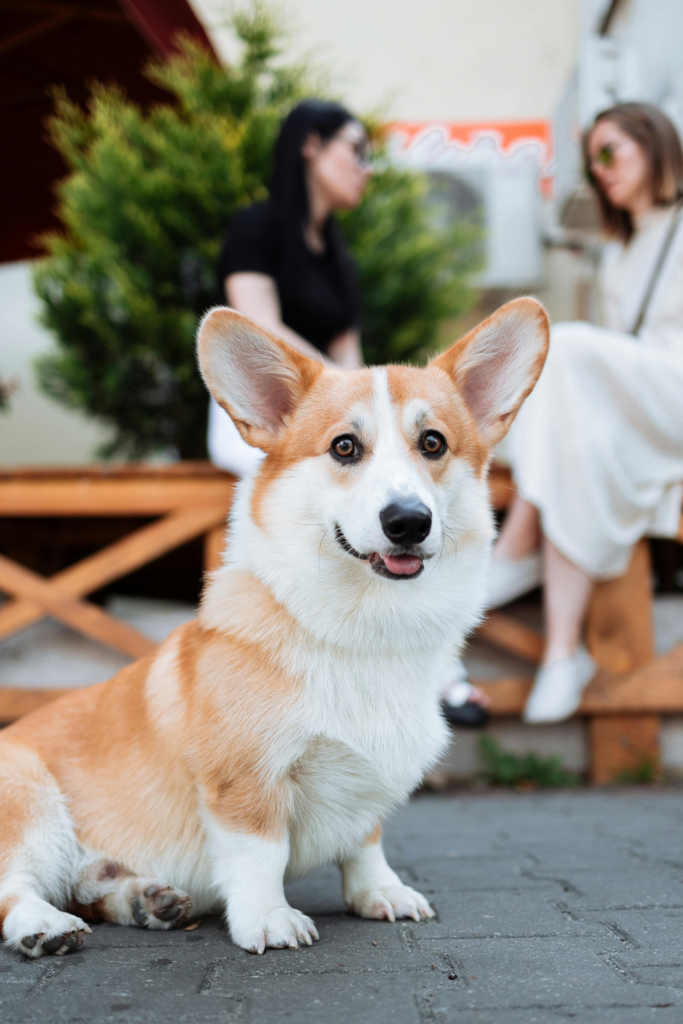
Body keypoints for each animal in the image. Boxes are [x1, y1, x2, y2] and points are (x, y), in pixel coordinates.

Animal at [0, 299, 548, 954]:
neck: (363, 630)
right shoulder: (245, 778)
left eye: (433, 442)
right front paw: (268, 918)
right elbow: (260, 852)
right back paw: (45, 926)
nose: (408, 521)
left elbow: (366, 840)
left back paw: (144, 899)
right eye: (344, 447)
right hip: (30, 800)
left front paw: (379, 892)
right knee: (15, 889)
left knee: (87, 881)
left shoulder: (367, 781)